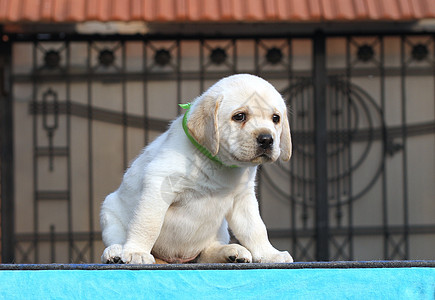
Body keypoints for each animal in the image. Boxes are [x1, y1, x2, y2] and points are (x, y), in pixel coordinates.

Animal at [100, 74, 294, 264]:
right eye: (239, 116)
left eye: (275, 118)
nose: (267, 139)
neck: (218, 162)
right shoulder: (158, 184)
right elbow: (148, 224)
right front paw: (137, 252)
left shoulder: (243, 199)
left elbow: (256, 229)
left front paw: (270, 254)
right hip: (110, 212)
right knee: (117, 238)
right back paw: (115, 252)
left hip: (219, 230)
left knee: (206, 254)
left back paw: (230, 252)